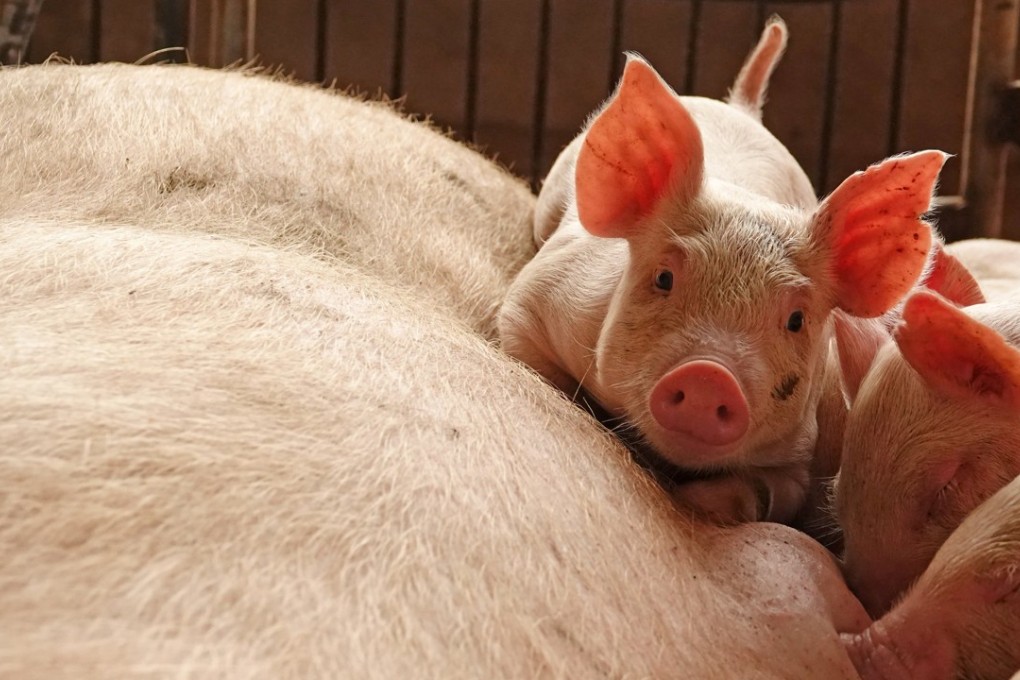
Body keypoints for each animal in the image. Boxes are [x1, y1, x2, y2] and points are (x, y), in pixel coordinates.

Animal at [498, 17, 947, 524]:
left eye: (797, 320)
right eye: (664, 278)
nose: (708, 375)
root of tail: (742, 108)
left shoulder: (797, 452)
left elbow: (775, 492)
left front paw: (705, 501)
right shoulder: (538, 299)